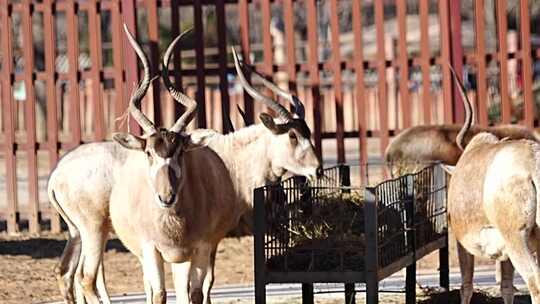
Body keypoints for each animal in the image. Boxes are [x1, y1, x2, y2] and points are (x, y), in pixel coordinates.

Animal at [446, 67, 540, 304]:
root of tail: (532, 163)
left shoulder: (463, 244)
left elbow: (466, 285)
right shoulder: (504, 253)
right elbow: (506, 286)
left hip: (517, 239)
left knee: (534, 280)